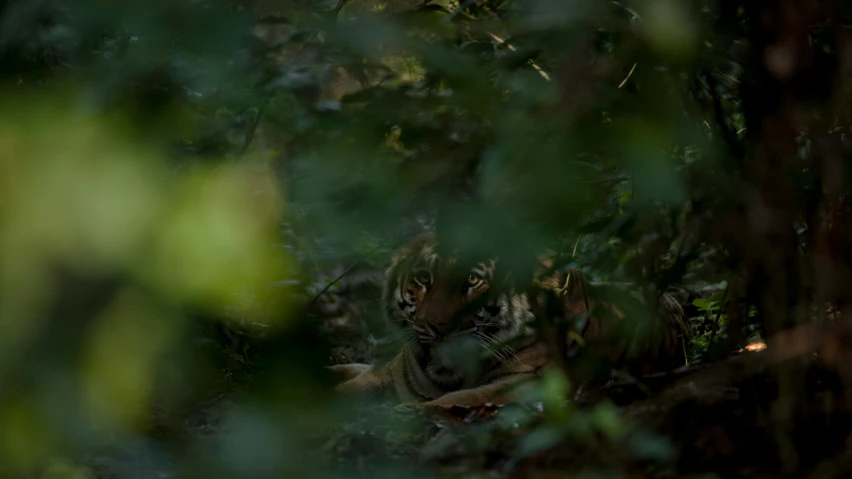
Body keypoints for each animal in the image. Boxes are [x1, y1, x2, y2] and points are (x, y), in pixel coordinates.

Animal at [328, 231, 692, 406]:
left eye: (472, 280)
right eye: (423, 279)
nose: (439, 327)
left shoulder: (521, 385)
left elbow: (452, 401)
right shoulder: (391, 377)